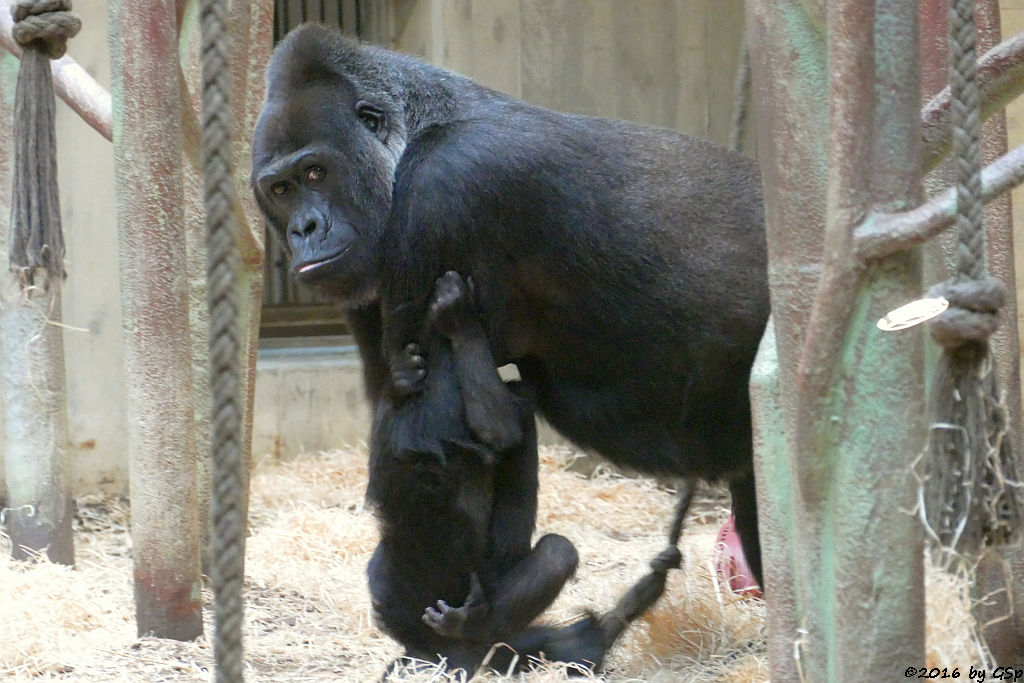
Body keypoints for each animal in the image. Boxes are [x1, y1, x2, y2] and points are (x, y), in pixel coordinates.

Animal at [253, 21, 770, 585]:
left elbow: (430, 442)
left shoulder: (441, 190)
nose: (304, 229)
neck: (415, 133)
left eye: (316, 172)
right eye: (280, 189)